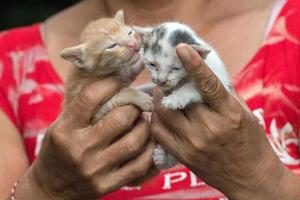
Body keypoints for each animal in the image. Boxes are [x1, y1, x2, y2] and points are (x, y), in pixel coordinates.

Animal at [135, 21, 232, 169]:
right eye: (152, 64)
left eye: (175, 68)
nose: (161, 80)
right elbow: (148, 88)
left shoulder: (220, 82)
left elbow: (191, 88)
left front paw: (174, 99)